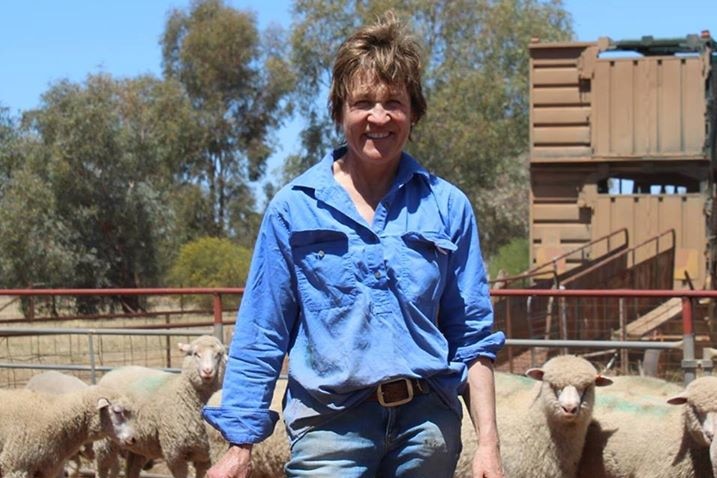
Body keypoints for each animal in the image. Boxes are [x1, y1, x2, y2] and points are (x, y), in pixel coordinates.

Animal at [93, 334, 225, 478]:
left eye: (218, 354)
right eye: (196, 354)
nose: (208, 371)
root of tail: (111, 372)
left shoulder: (204, 456)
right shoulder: (174, 452)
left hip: (138, 444)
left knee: (132, 468)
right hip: (105, 440)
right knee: (102, 467)